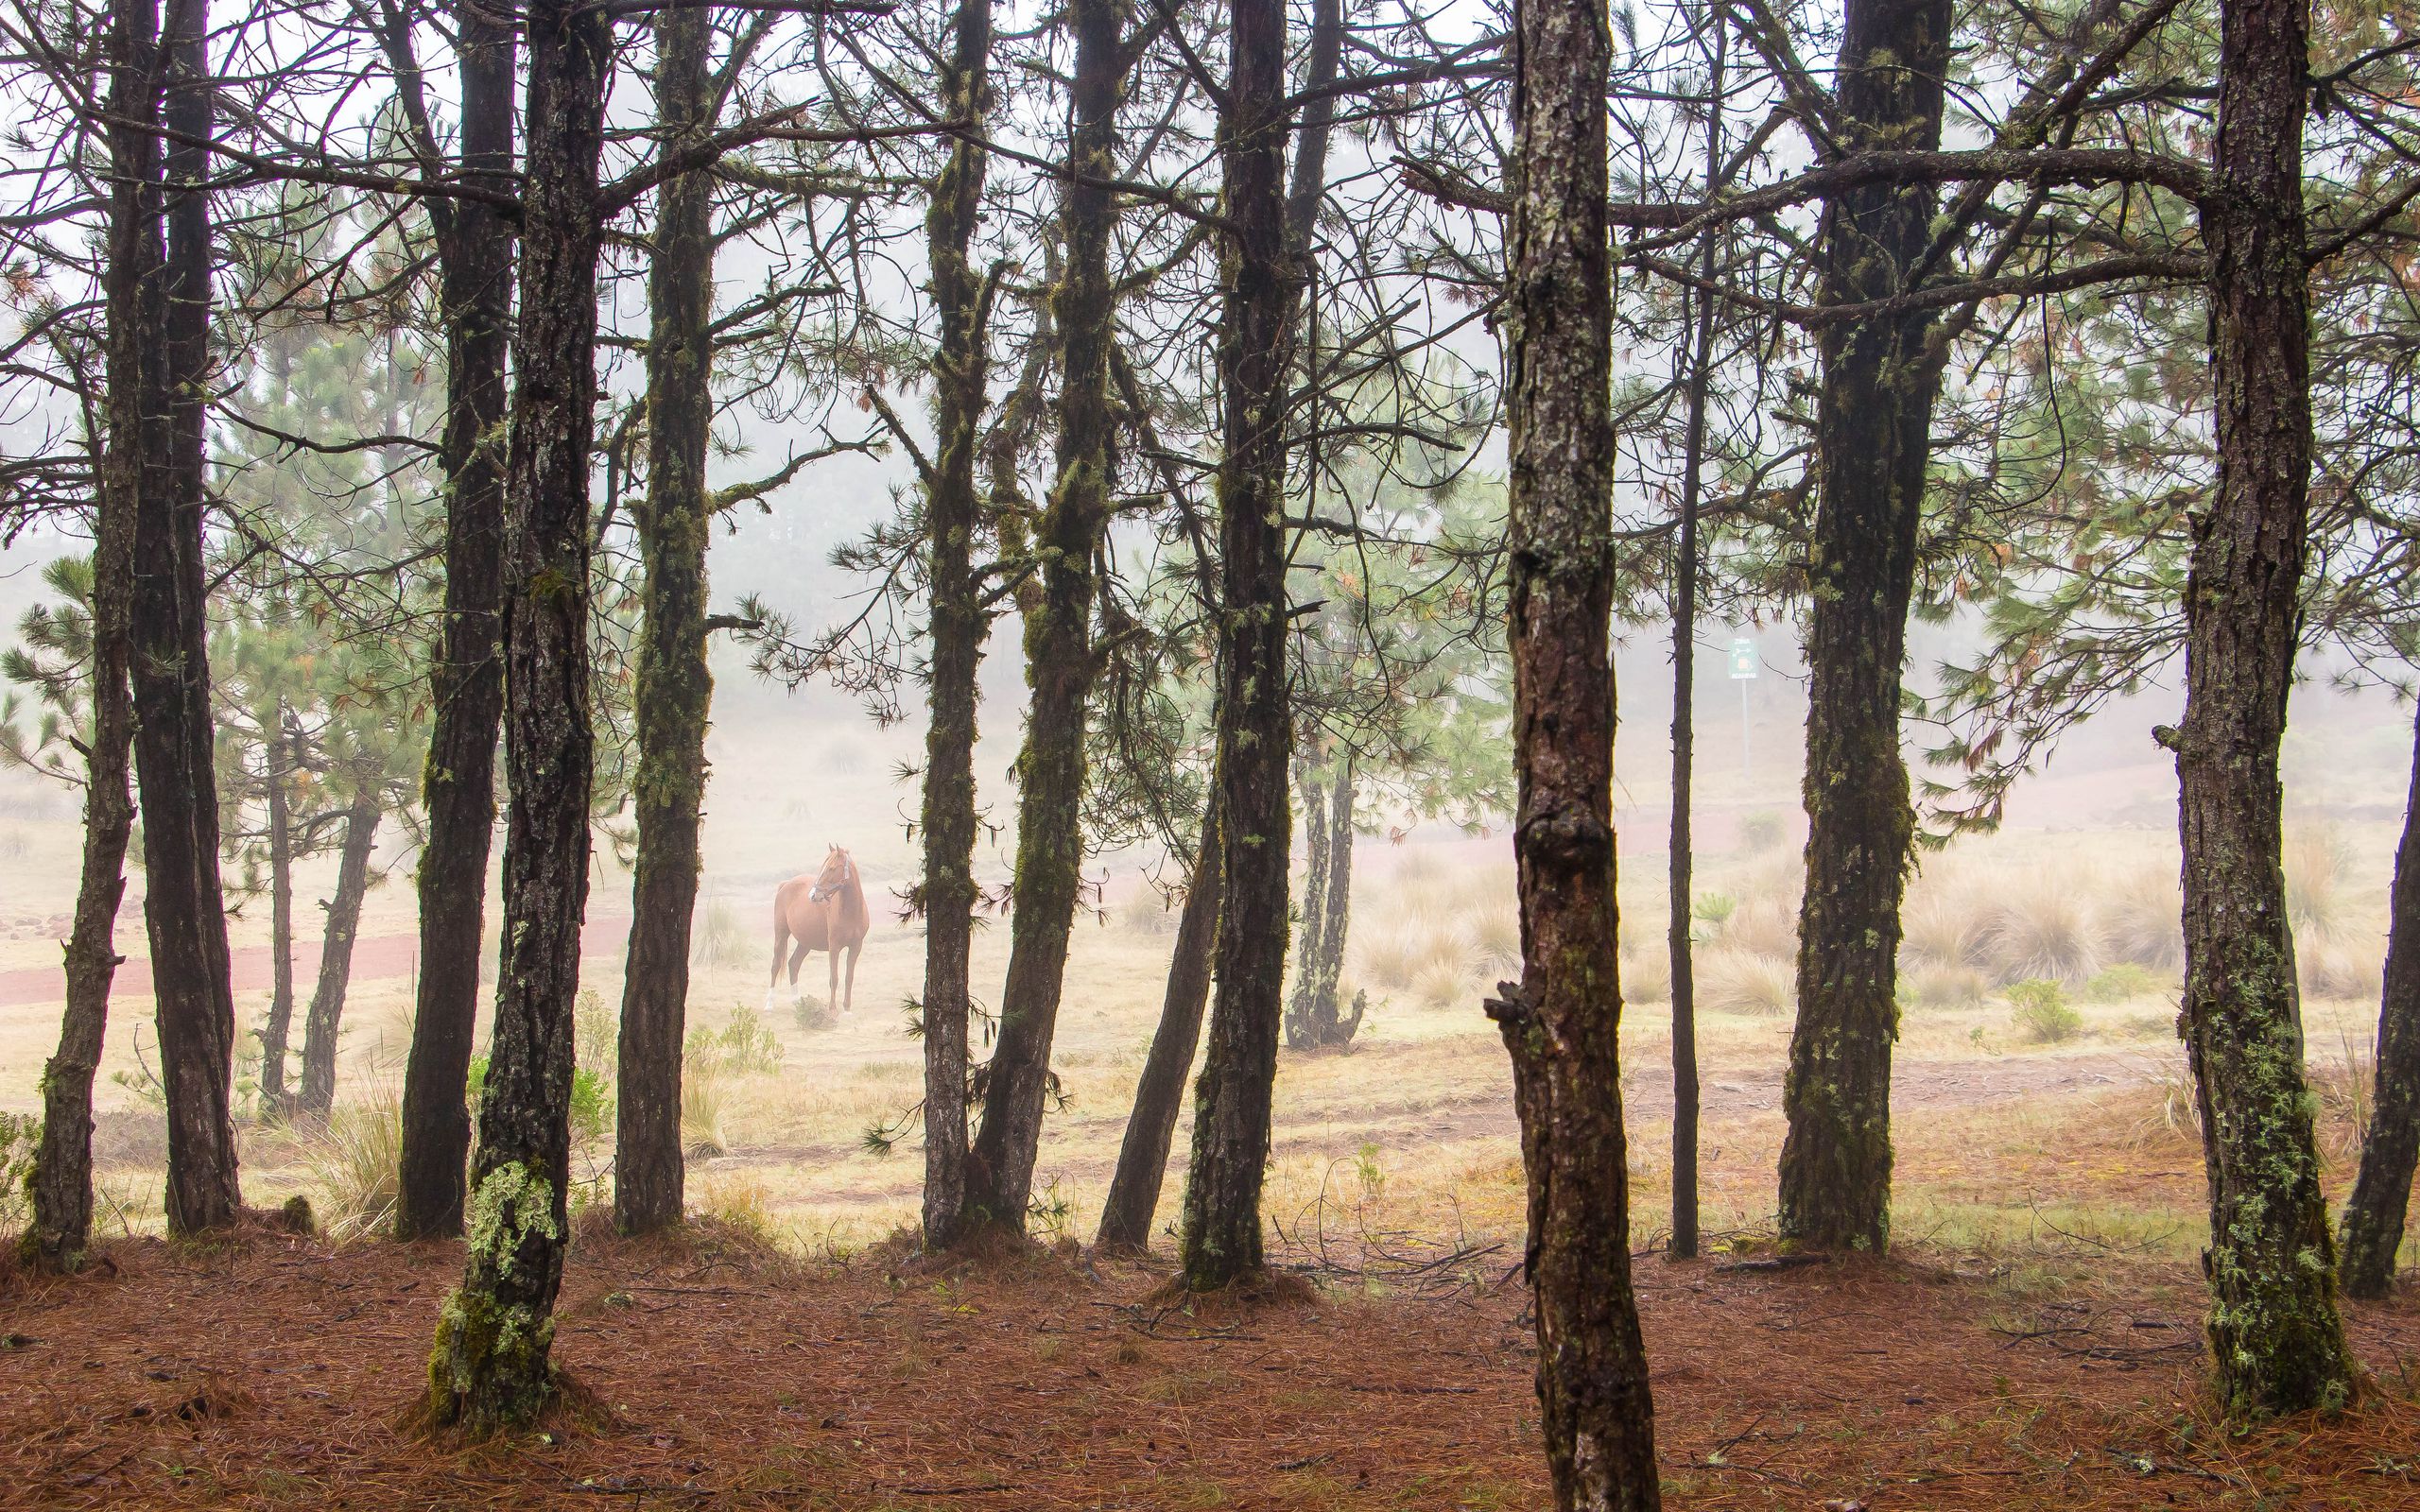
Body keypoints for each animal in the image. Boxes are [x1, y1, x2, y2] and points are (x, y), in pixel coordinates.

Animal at [766, 845, 871, 1015]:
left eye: (831, 868)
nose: (813, 895)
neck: (851, 911)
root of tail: (786, 884)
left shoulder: (856, 947)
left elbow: (849, 977)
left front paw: (847, 1009)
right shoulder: (834, 947)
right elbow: (834, 978)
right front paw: (832, 1009)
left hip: (805, 942)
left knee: (793, 964)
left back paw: (797, 1002)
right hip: (781, 934)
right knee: (775, 966)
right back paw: (769, 1003)